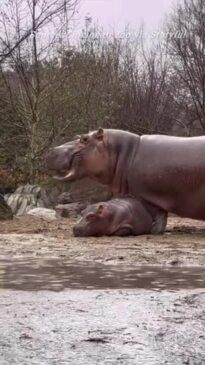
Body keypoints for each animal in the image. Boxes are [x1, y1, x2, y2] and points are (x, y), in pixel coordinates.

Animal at [45, 126, 205, 225]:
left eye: (84, 139)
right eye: (79, 136)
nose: (51, 150)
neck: (127, 152)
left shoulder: (144, 196)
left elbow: (157, 219)